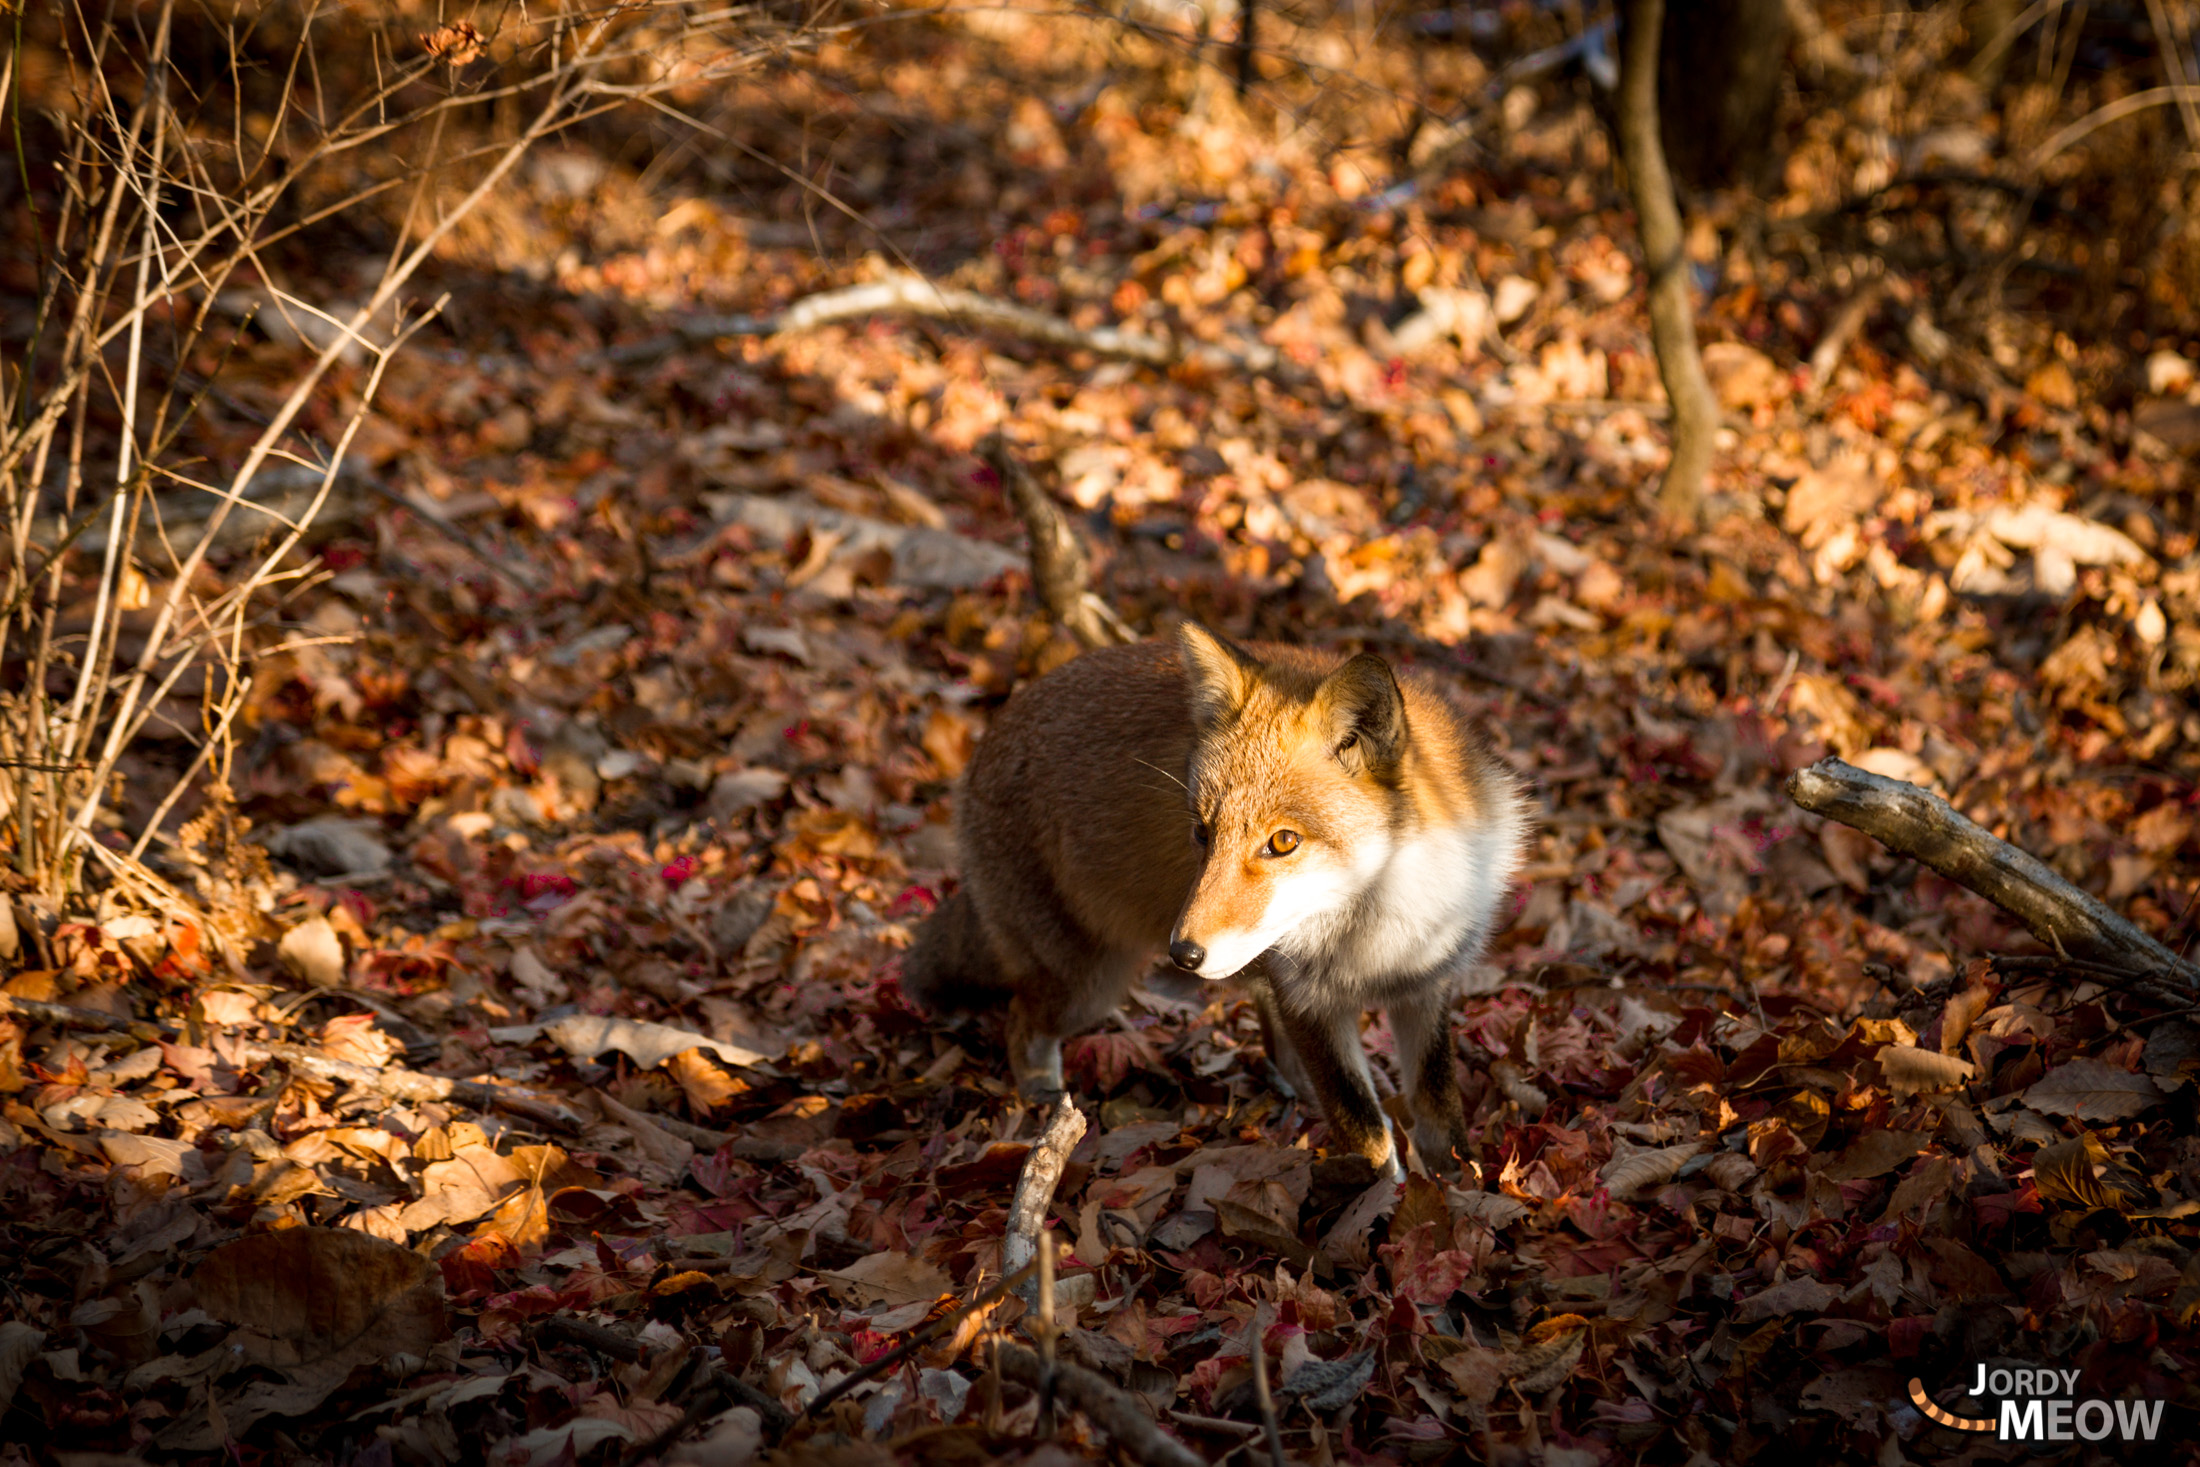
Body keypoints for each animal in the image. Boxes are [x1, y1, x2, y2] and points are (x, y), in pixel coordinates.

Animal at [897, 624, 1531, 1178]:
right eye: (1202, 832)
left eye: (1283, 842)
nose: (1184, 954)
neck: (1377, 933)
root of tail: (987, 739)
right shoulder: (1310, 1002)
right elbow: (1366, 1131)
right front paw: (1384, 1213)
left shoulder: (1426, 986)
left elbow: (1440, 1116)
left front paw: (1458, 1192)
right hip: (1086, 988)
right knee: (1020, 1025)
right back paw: (1041, 1105)